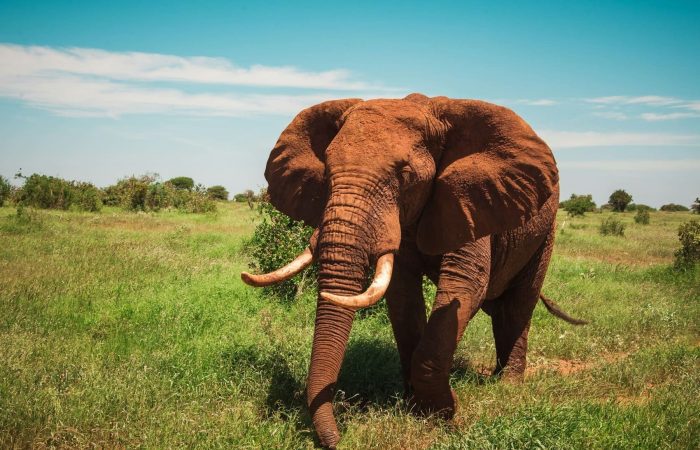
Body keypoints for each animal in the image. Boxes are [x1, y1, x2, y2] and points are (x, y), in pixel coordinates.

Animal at [241, 93, 584, 448]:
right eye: (327, 171)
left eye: (405, 175)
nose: (337, 441)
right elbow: (403, 297)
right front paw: (413, 406)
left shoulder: (470, 200)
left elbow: (465, 287)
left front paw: (444, 415)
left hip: (545, 232)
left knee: (518, 306)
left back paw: (507, 385)